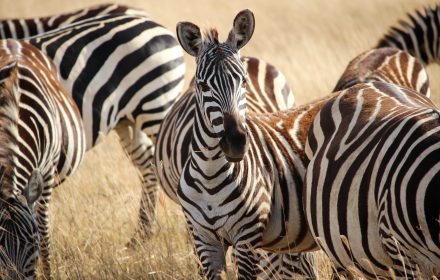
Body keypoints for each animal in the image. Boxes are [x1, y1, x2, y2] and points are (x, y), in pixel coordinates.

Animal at [174, 9, 318, 278]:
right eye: (202, 85)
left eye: (243, 81)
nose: (236, 143)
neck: (210, 175)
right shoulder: (204, 240)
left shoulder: (247, 239)